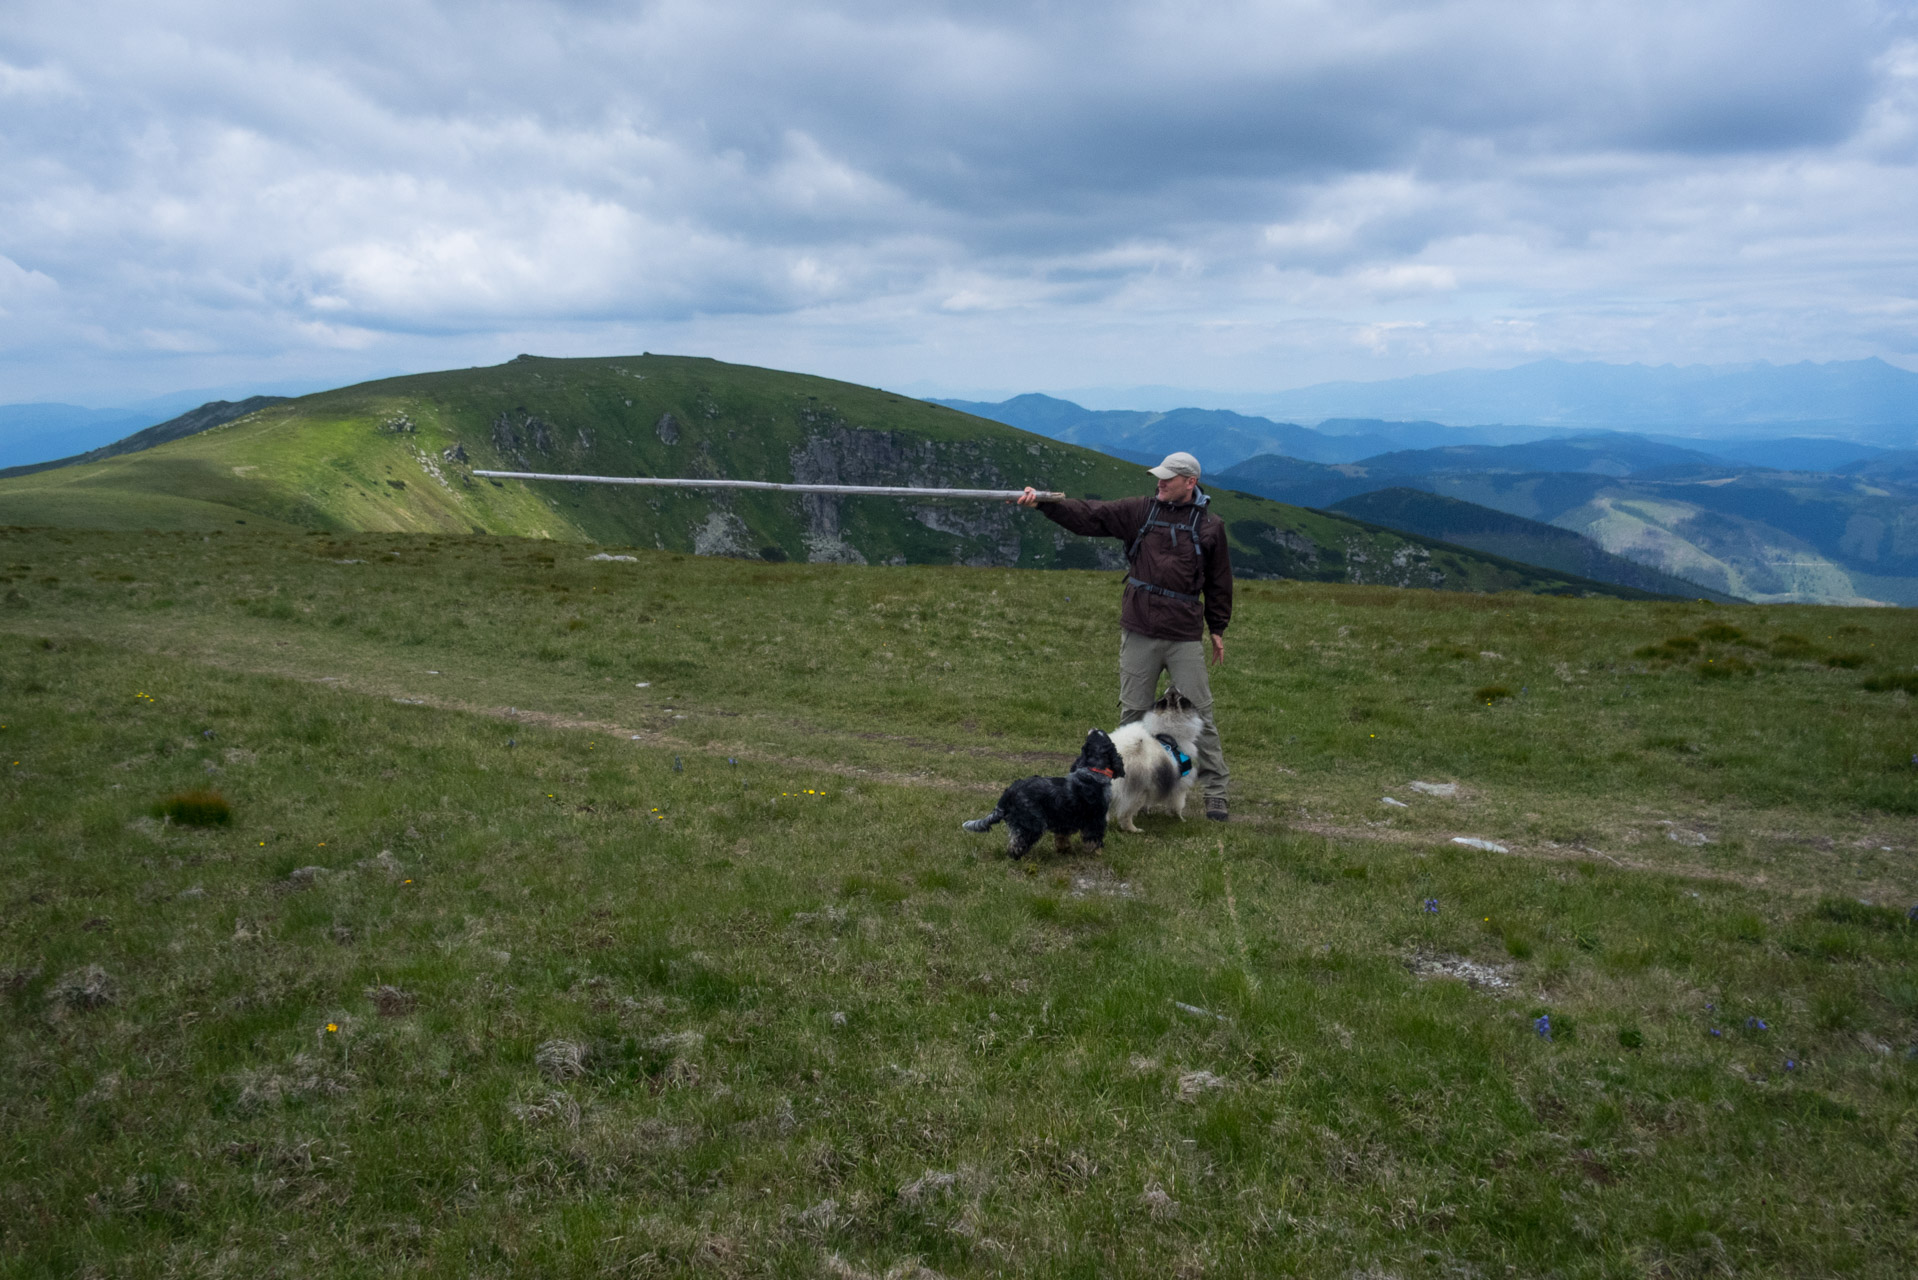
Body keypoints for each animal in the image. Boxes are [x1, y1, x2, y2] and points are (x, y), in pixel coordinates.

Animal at [959, 729, 1120, 859]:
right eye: (1101, 734)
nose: (1094, 728)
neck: (1093, 771)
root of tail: (1009, 792)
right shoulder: (1096, 818)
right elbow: (1094, 839)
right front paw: (1096, 853)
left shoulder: (1063, 819)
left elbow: (1062, 837)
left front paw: (1064, 849)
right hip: (1033, 824)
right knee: (1017, 844)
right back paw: (1018, 858)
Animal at [1104, 687, 1204, 836]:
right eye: (1182, 697)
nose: (1172, 685)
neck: (1170, 735)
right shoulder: (1180, 784)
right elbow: (1178, 804)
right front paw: (1180, 818)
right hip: (1136, 794)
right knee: (1124, 816)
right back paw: (1134, 829)